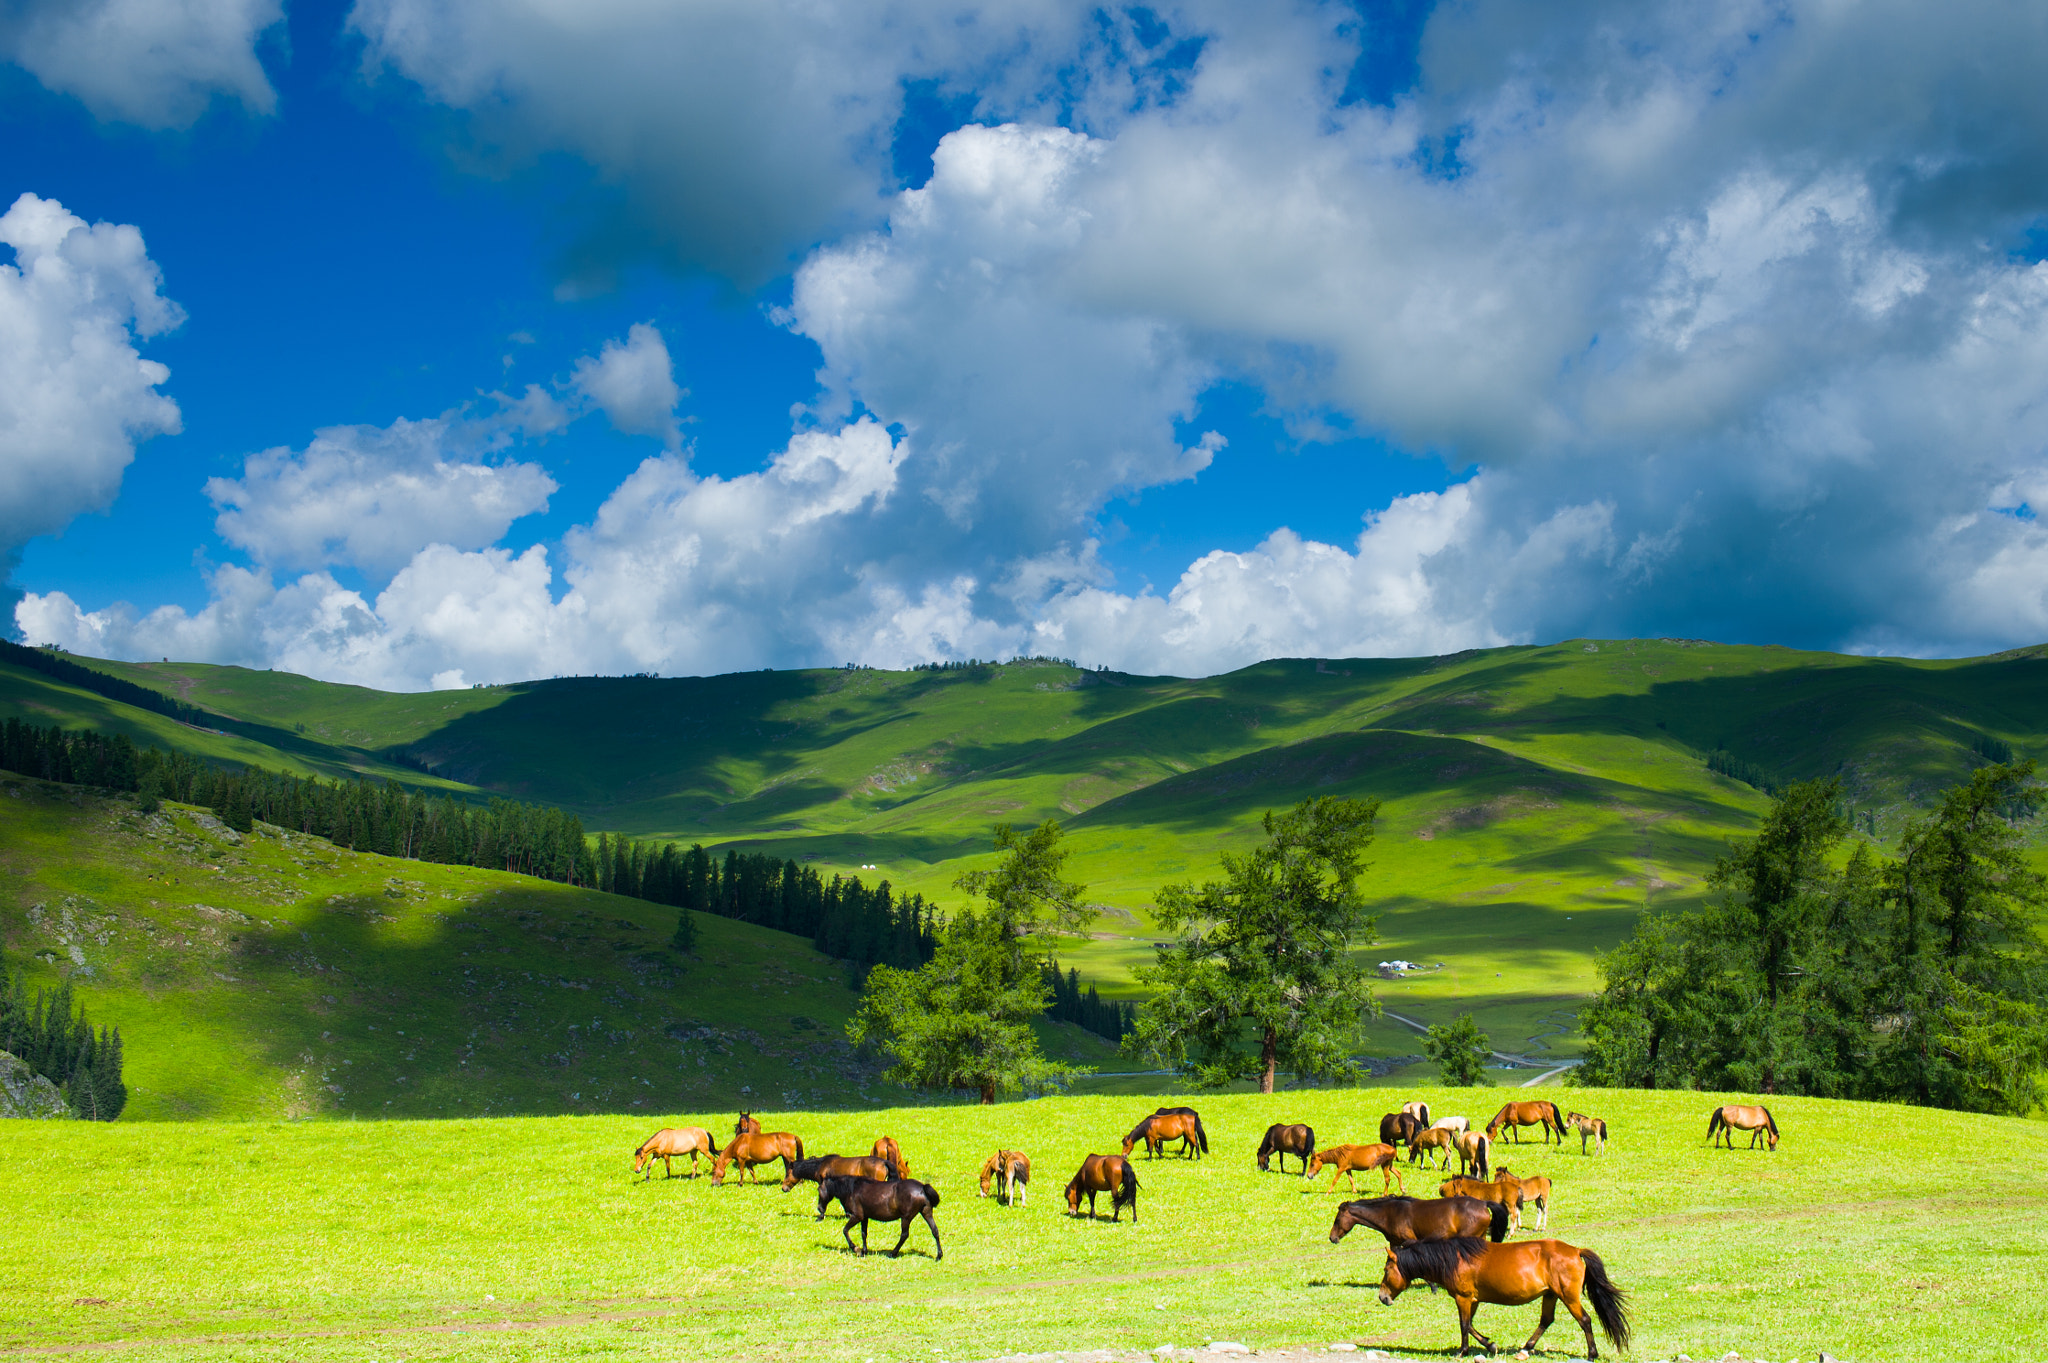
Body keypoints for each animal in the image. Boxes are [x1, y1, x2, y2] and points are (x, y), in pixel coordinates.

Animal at [1327, 1186, 1507, 1244]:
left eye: (1337, 1219)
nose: (1332, 1237)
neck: (1389, 1213)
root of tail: (1483, 1204)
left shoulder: (1410, 1241)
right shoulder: (1395, 1243)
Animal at [1376, 1236, 1630, 1350]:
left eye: (1386, 1270)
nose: (1382, 1297)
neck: (1455, 1259)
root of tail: (1576, 1251)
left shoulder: (1463, 1298)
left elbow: (1464, 1325)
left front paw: (1464, 1351)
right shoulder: (1474, 1300)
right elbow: (1470, 1325)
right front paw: (1489, 1345)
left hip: (1568, 1297)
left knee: (1585, 1320)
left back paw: (1591, 1354)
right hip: (1550, 1295)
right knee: (1546, 1320)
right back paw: (1526, 1348)